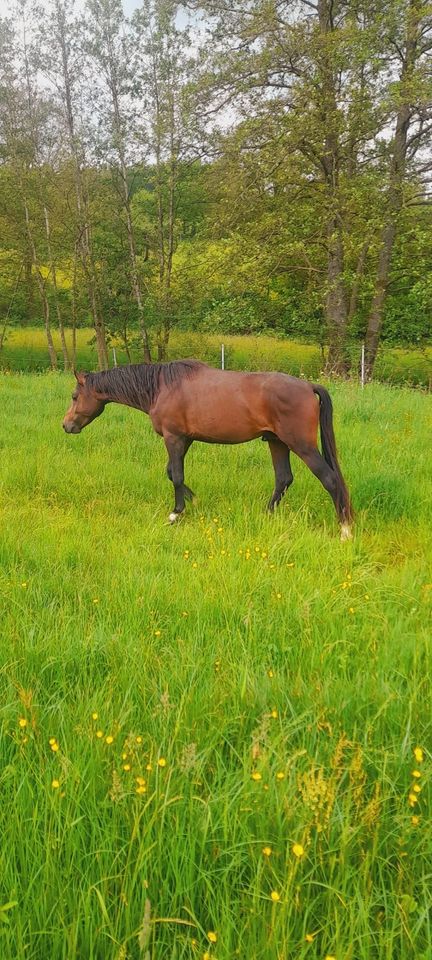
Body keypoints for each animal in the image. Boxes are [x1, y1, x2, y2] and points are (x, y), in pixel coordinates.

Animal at [64, 360, 354, 540]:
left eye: (75, 397)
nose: (66, 425)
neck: (161, 387)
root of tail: (308, 386)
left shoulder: (173, 438)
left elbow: (176, 476)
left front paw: (175, 513)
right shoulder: (186, 439)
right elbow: (172, 473)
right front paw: (195, 501)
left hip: (301, 445)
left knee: (330, 479)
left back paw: (345, 531)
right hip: (276, 442)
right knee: (283, 479)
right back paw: (266, 516)